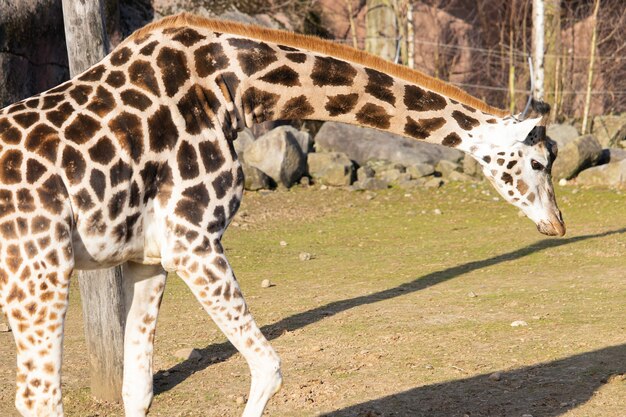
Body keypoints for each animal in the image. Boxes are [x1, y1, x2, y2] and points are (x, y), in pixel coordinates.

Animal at [0, 13, 564, 416]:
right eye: (540, 160)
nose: (557, 224)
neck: (234, 90)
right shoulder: (194, 240)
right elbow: (269, 368)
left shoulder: (149, 257)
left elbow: (137, 389)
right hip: (40, 274)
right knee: (37, 398)